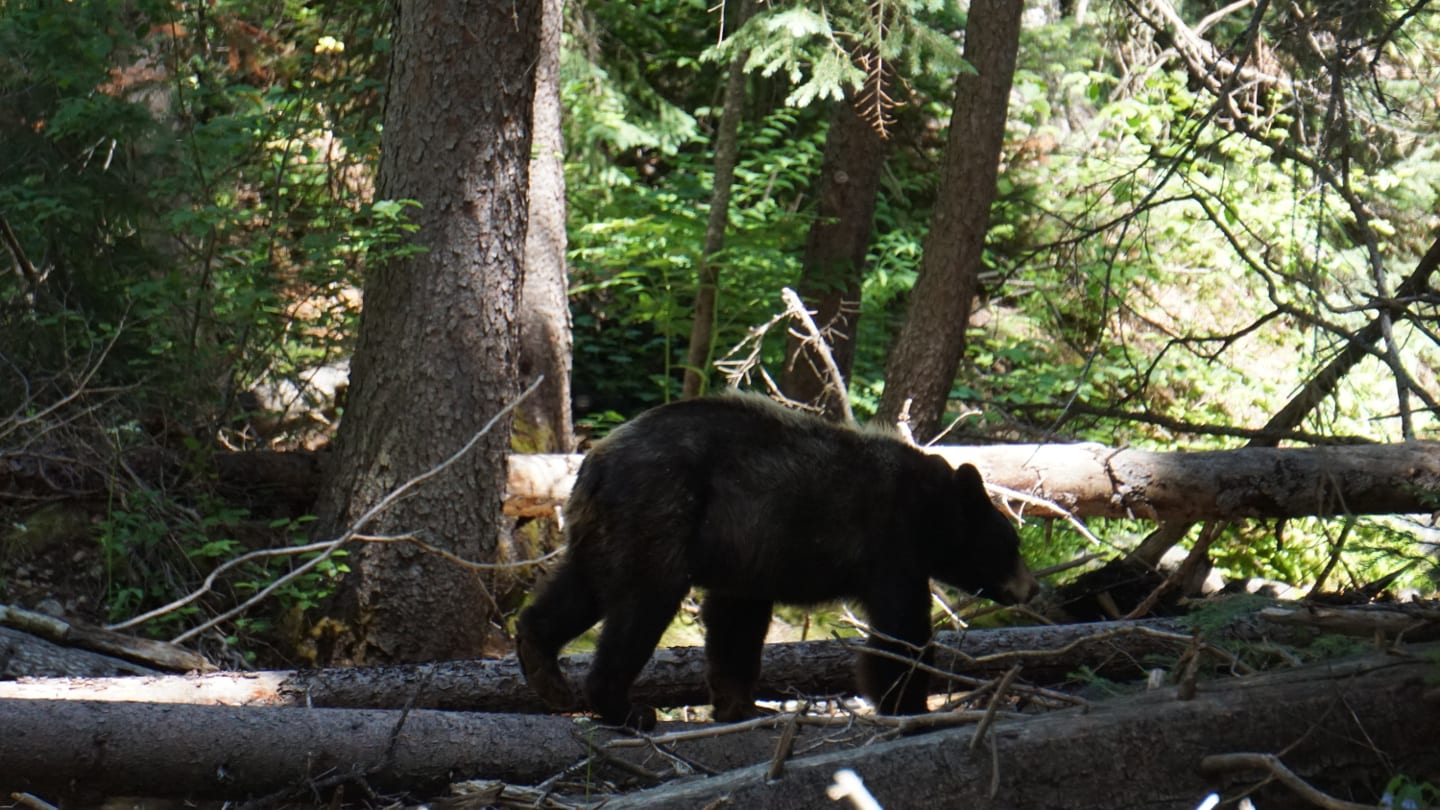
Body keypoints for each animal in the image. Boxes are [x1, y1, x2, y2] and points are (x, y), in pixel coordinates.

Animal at [518, 394, 1036, 729]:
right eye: (1011, 544)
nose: (1031, 588)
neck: (930, 510)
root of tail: (594, 461)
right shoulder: (890, 543)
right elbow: (901, 629)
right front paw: (909, 703)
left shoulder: (746, 554)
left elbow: (736, 625)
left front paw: (742, 706)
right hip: (659, 508)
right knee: (644, 604)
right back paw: (624, 708)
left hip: (606, 529)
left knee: (578, 591)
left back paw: (544, 668)